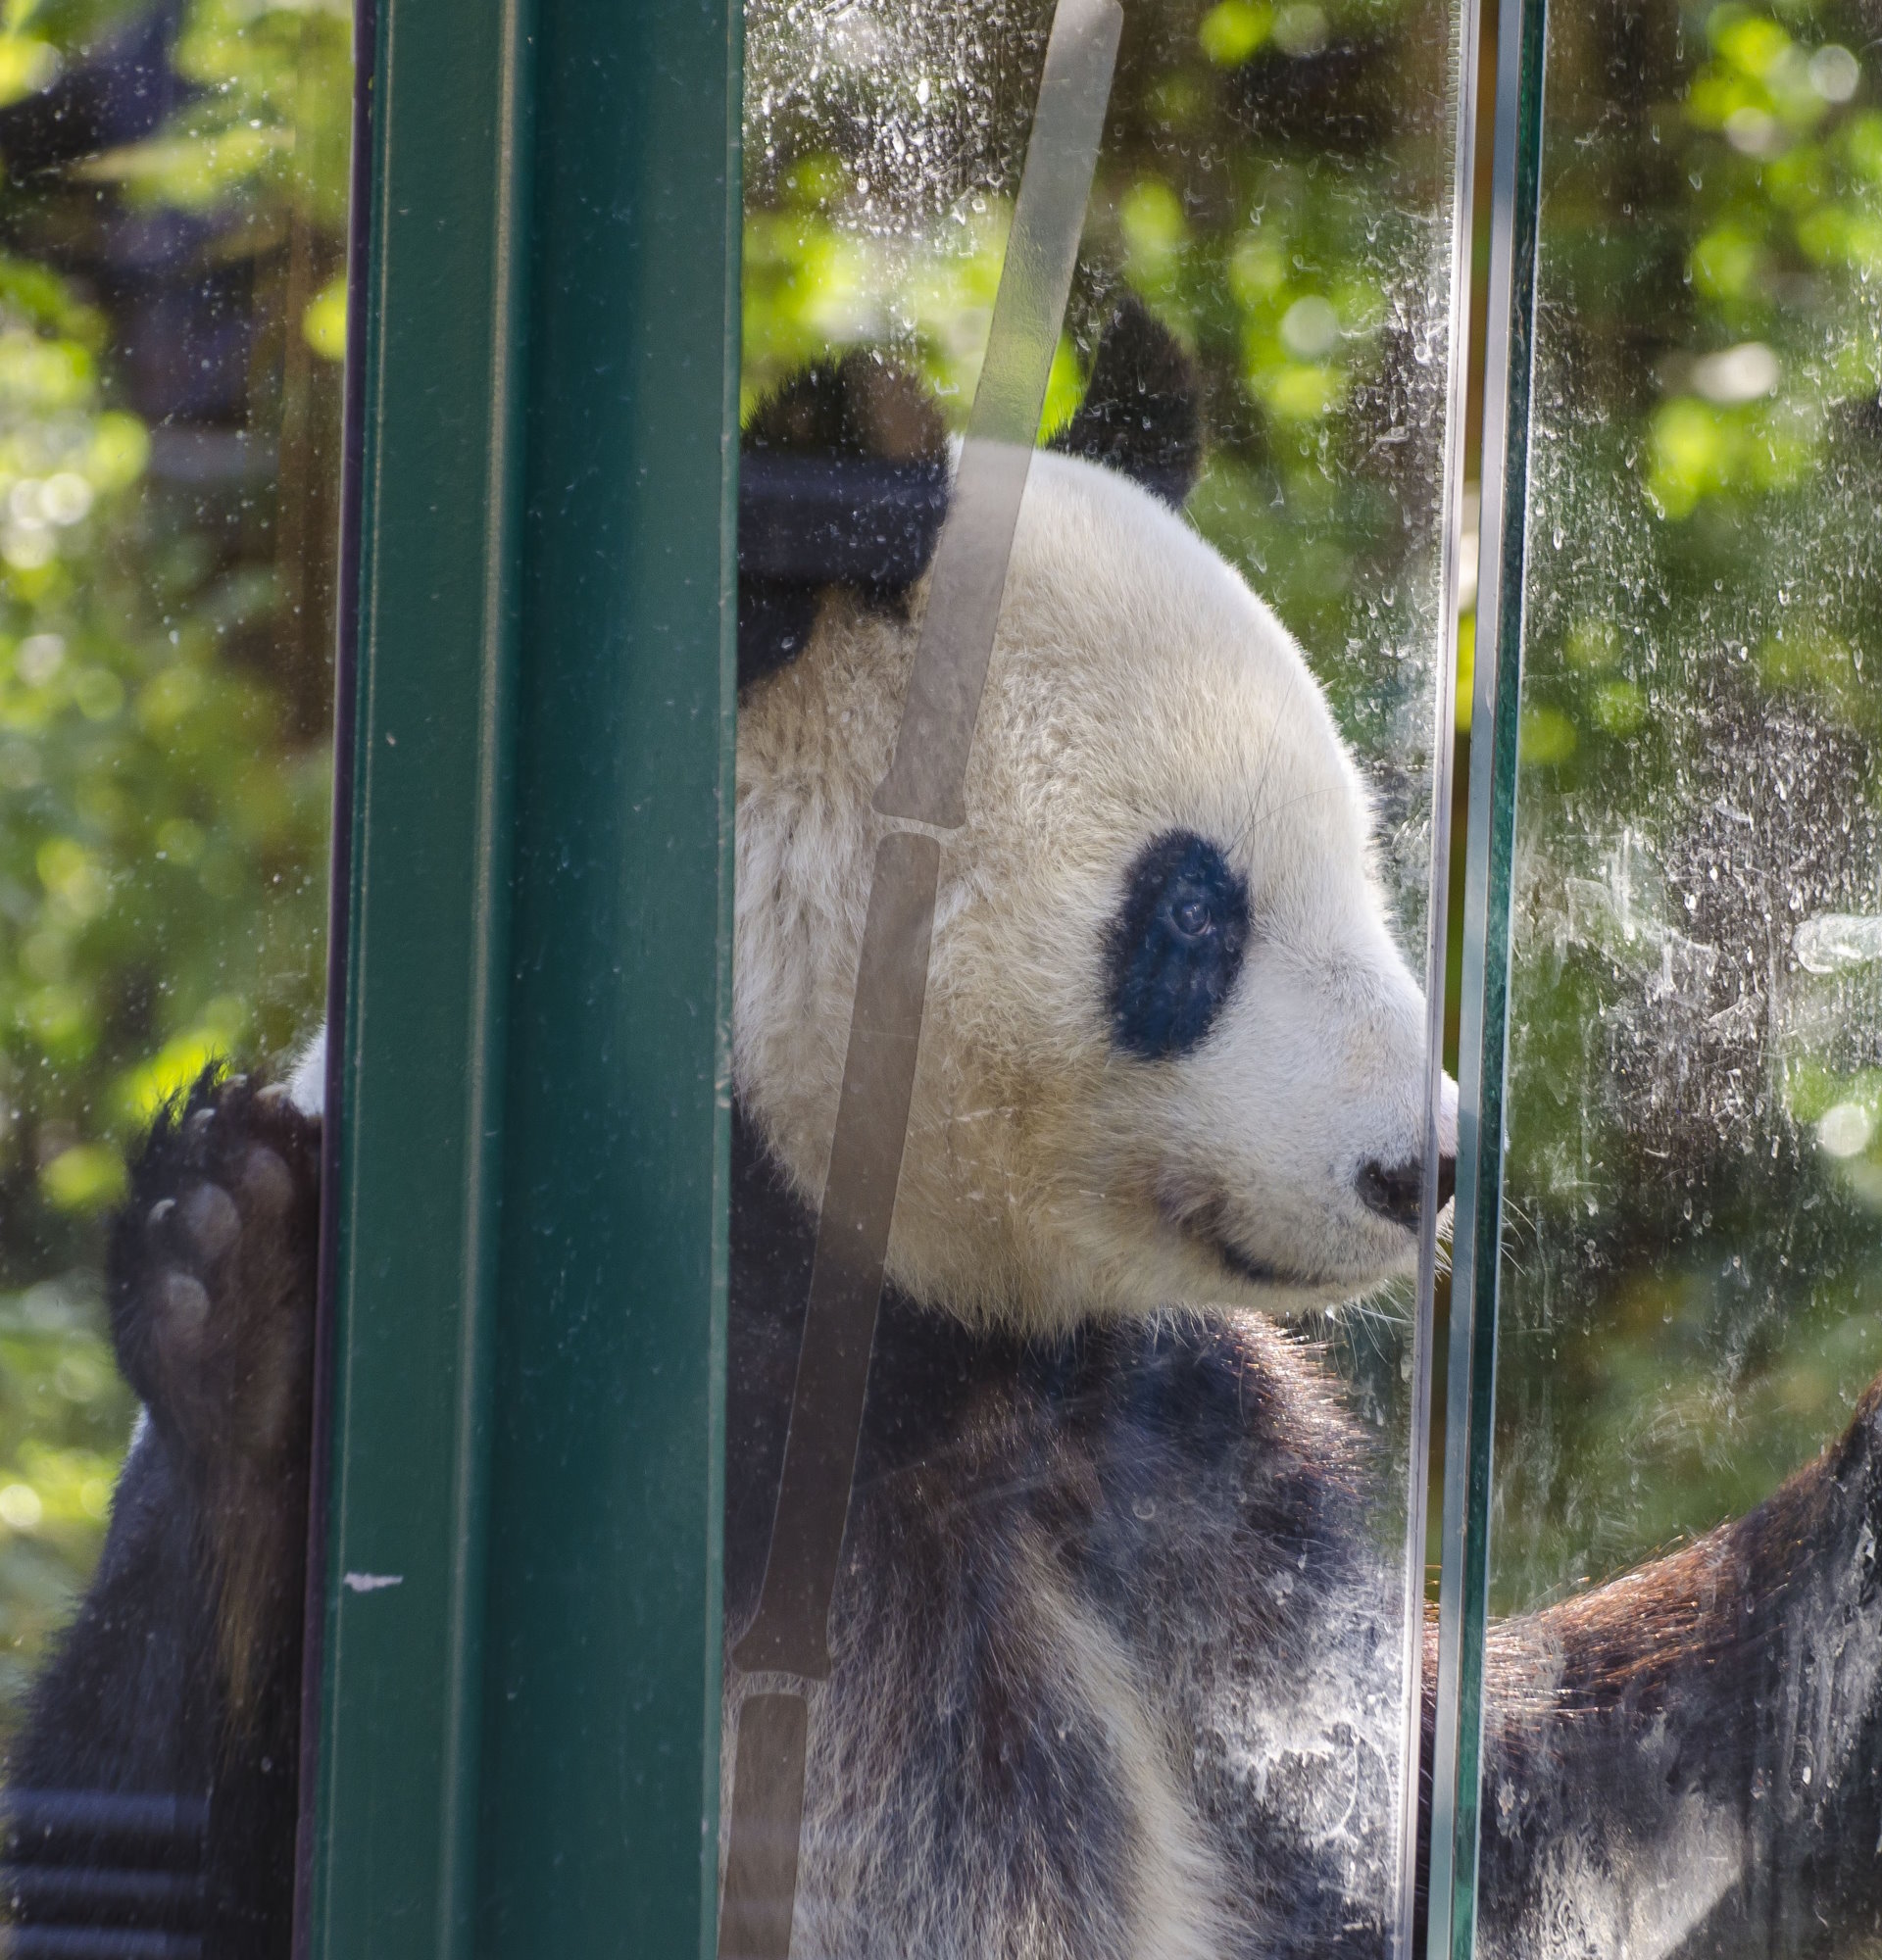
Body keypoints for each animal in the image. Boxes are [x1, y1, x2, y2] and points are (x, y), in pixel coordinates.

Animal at [11, 306, 1882, 1960]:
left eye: (1366, 863)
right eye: (1194, 917)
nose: (1418, 1165)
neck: (896, 1327)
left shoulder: (1179, 1461)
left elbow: (1514, 1813)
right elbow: (137, 1843)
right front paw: (241, 1307)